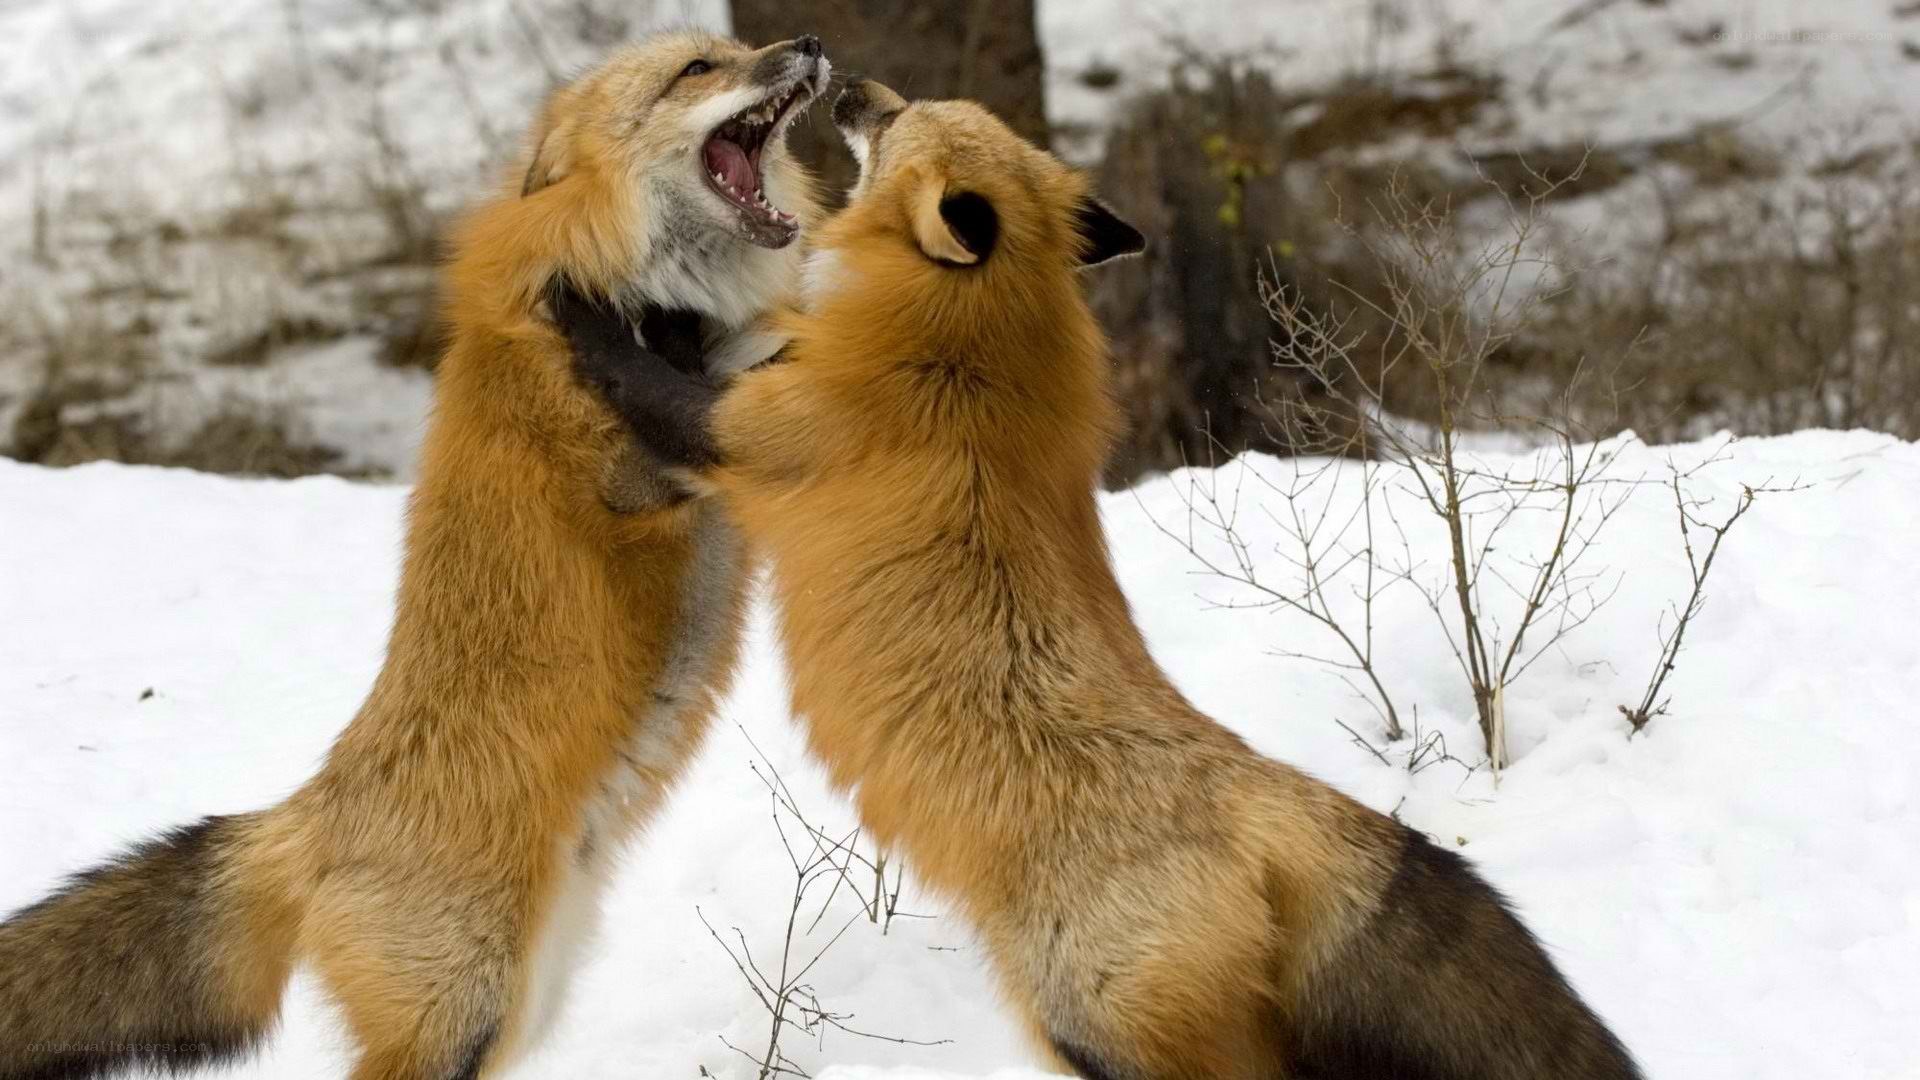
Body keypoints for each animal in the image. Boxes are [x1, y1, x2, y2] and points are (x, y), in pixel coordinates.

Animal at [0, 30, 828, 1080]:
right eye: (696, 72)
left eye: (733, 50)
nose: (807, 43)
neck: (623, 287)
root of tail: (306, 819)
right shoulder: (639, 477)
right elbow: (724, 387)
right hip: (462, 1012)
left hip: (519, 1011)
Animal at [553, 78, 1647, 1080]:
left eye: (900, 118)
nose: (850, 82)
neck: (969, 350)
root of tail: (1270, 798)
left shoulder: (754, 431)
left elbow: (641, 376)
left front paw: (586, 304)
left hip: (1092, 1024)